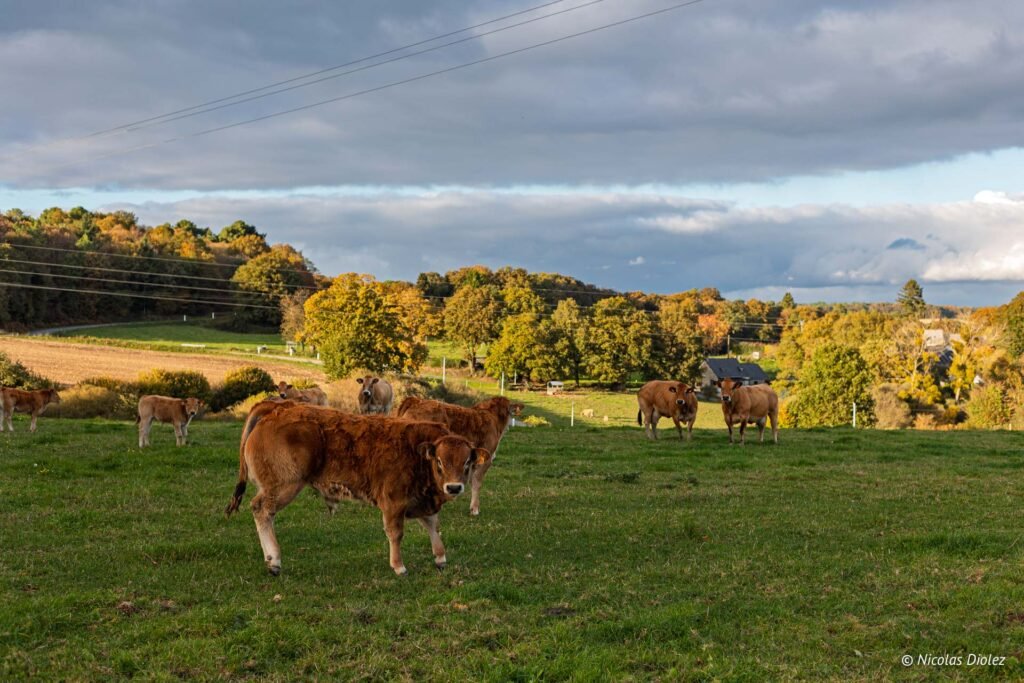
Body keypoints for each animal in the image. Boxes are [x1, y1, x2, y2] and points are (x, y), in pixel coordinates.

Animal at [225, 401, 490, 576]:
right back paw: (274, 560)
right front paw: (399, 566)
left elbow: (433, 526)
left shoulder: (421, 500)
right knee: (261, 510)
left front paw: (440, 557)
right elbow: (396, 533)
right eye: (440, 462)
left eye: (466, 462)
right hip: (284, 486)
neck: (417, 452)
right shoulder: (393, 502)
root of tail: (276, 407)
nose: (454, 487)